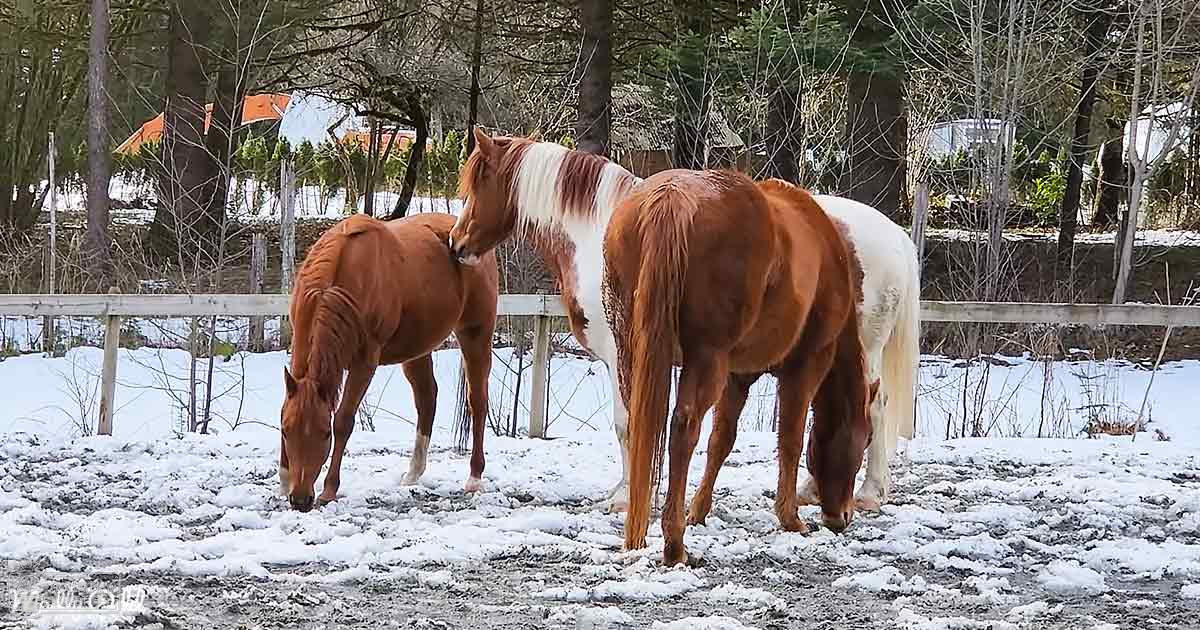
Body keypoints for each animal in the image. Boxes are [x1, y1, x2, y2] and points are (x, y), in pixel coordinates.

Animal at [279, 212, 498, 512]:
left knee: (477, 401)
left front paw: (329, 489)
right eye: (287, 432)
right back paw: (413, 473)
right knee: (427, 399)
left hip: (476, 333)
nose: (300, 500)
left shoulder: (364, 363)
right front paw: (283, 480)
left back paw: (474, 478)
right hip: (417, 349)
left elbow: (344, 421)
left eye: (324, 434)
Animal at [449, 129, 920, 516]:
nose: (456, 244)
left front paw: (627, 497)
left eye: (478, 183)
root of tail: (894, 235)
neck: (601, 236)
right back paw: (820, 488)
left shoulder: (623, 353)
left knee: (872, 405)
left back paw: (867, 492)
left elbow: (627, 423)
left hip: (859, 349)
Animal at [603, 172, 874, 566]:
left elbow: (722, 440)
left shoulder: (737, 376)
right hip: (706, 358)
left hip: (632, 353)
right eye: (866, 438)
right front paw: (790, 518)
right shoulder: (806, 367)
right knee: (684, 430)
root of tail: (673, 198)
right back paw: (674, 545)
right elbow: (790, 439)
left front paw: (698, 511)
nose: (841, 516)